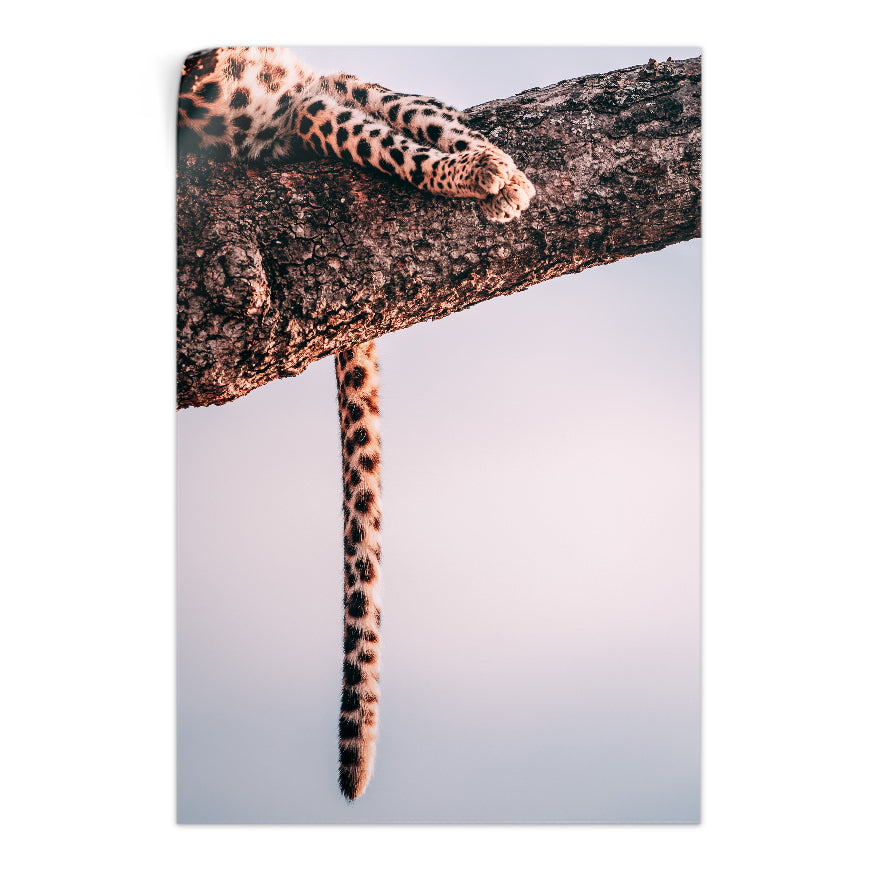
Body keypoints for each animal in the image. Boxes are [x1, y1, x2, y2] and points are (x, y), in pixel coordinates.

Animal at [178, 47, 535, 801]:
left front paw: (488, 160)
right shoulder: (283, 111)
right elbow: (377, 136)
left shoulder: (297, 89)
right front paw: (482, 174)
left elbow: (400, 113)